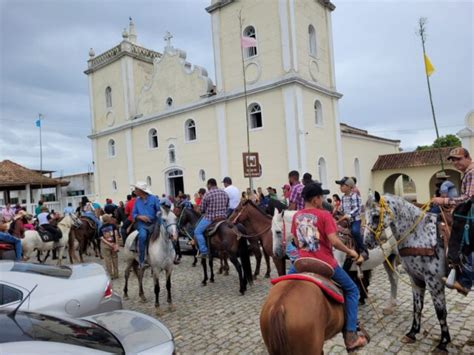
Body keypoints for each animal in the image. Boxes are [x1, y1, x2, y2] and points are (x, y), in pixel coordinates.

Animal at [364, 193, 450, 354]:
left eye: (376, 216)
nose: (366, 242)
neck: (420, 235)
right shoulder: (415, 279)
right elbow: (417, 307)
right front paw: (412, 333)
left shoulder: (434, 282)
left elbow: (441, 312)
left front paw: (443, 342)